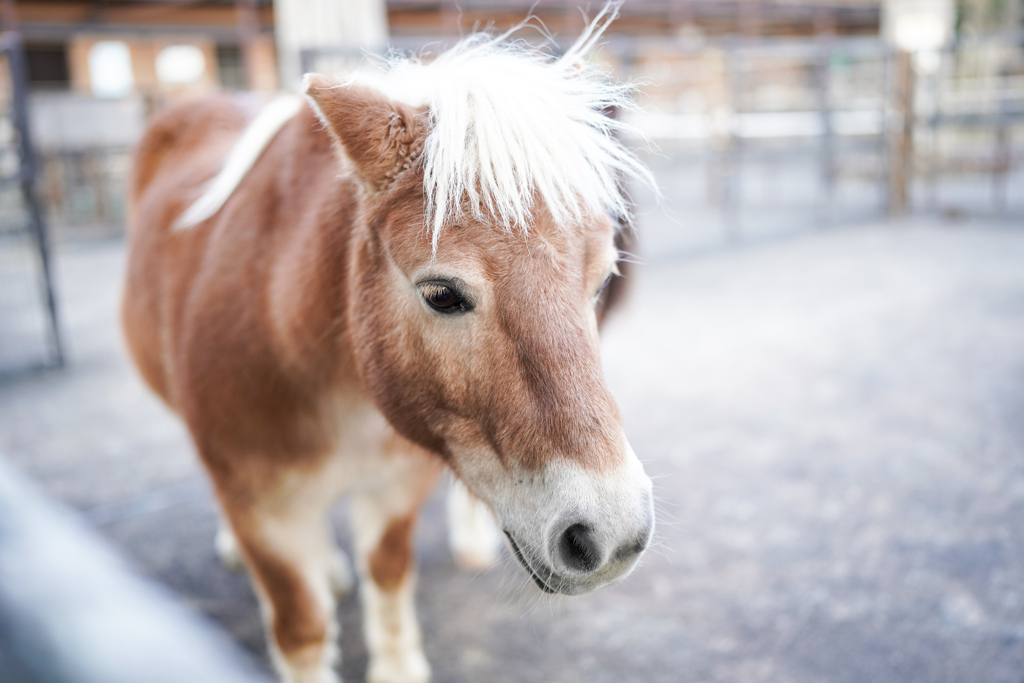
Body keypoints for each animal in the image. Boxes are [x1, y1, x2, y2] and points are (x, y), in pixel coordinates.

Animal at [121, 13, 655, 683]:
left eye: (602, 280)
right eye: (442, 295)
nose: (613, 536)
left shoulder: (397, 485)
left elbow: (389, 572)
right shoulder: (264, 513)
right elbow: (301, 628)